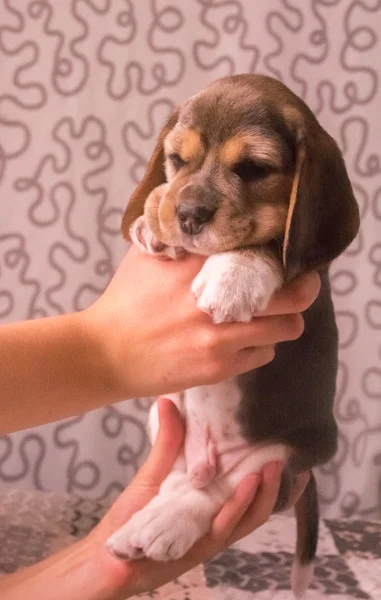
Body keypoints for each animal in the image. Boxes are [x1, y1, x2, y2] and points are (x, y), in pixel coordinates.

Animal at [106, 72, 360, 596]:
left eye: (253, 167)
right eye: (177, 159)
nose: (187, 214)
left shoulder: (305, 270)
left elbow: (270, 242)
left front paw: (234, 276)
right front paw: (151, 219)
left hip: (279, 457)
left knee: (216, 491)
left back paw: (161, 525)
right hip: (165, 416)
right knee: (182, 478)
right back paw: (142, 523)